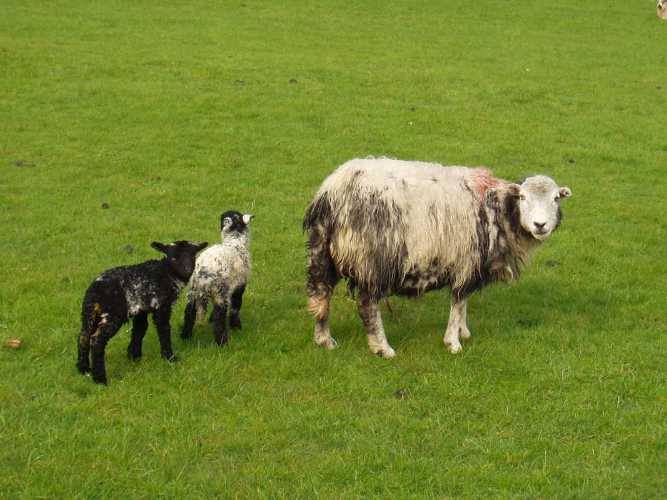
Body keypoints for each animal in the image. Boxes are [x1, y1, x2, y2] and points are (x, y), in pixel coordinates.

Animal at [76, 240, 208, 384]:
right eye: (173, 258)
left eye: (192, 256)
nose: (187, 270)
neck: (166, 273)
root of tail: (94, 292)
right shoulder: (161, 305)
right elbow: (164, 328)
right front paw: (169, 357)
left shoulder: (141, 309)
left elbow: (140, 329)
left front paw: (134, 356)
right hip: (112, 314)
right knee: (97, 340)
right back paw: (100, 379)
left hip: (91, 314)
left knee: (83, 336)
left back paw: (84, 369)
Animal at [181, 211, 253, 346]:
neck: (234, 242)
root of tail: (203, 274)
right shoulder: (240, 285)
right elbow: (236, 307)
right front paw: (237, 327)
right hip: (220, 293)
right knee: (220, 318)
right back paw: (222, 342)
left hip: (193, 292)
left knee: (189, 313)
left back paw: (185, 337)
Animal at [304, 158, 572, 358]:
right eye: (523, 197)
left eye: (555, 198)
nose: (540, 225)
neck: (498, 209)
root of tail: (333, 192)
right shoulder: (467, 261)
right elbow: (458, 301)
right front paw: (453, 342)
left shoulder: (470, 265)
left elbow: (464, 303)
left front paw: (464, 332)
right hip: (374, 258)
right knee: (367, 304)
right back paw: (382, 348)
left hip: (323, 251)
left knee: (321, 294)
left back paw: (324, 340)